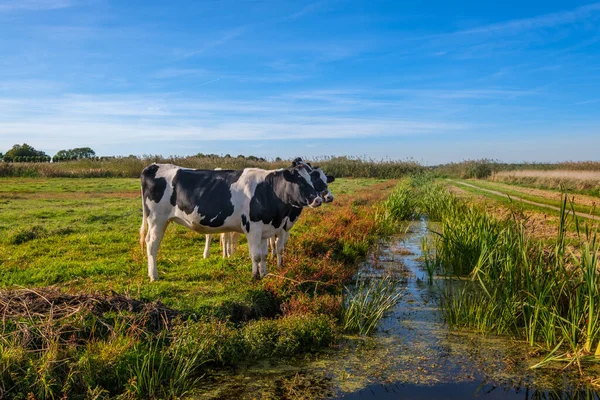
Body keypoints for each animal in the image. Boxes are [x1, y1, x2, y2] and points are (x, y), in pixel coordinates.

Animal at [139, 162, 326, 282]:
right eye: (301, 181)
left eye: (312, 180)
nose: (318, 199)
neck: (268, 190)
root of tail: (153, 166)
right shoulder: (253, 228)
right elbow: (255, 255)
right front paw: (255, 276)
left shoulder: (265, 229)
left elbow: (264, 255)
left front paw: (264, 274)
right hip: (156, 219)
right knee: (152, 244)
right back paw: (153, 275)